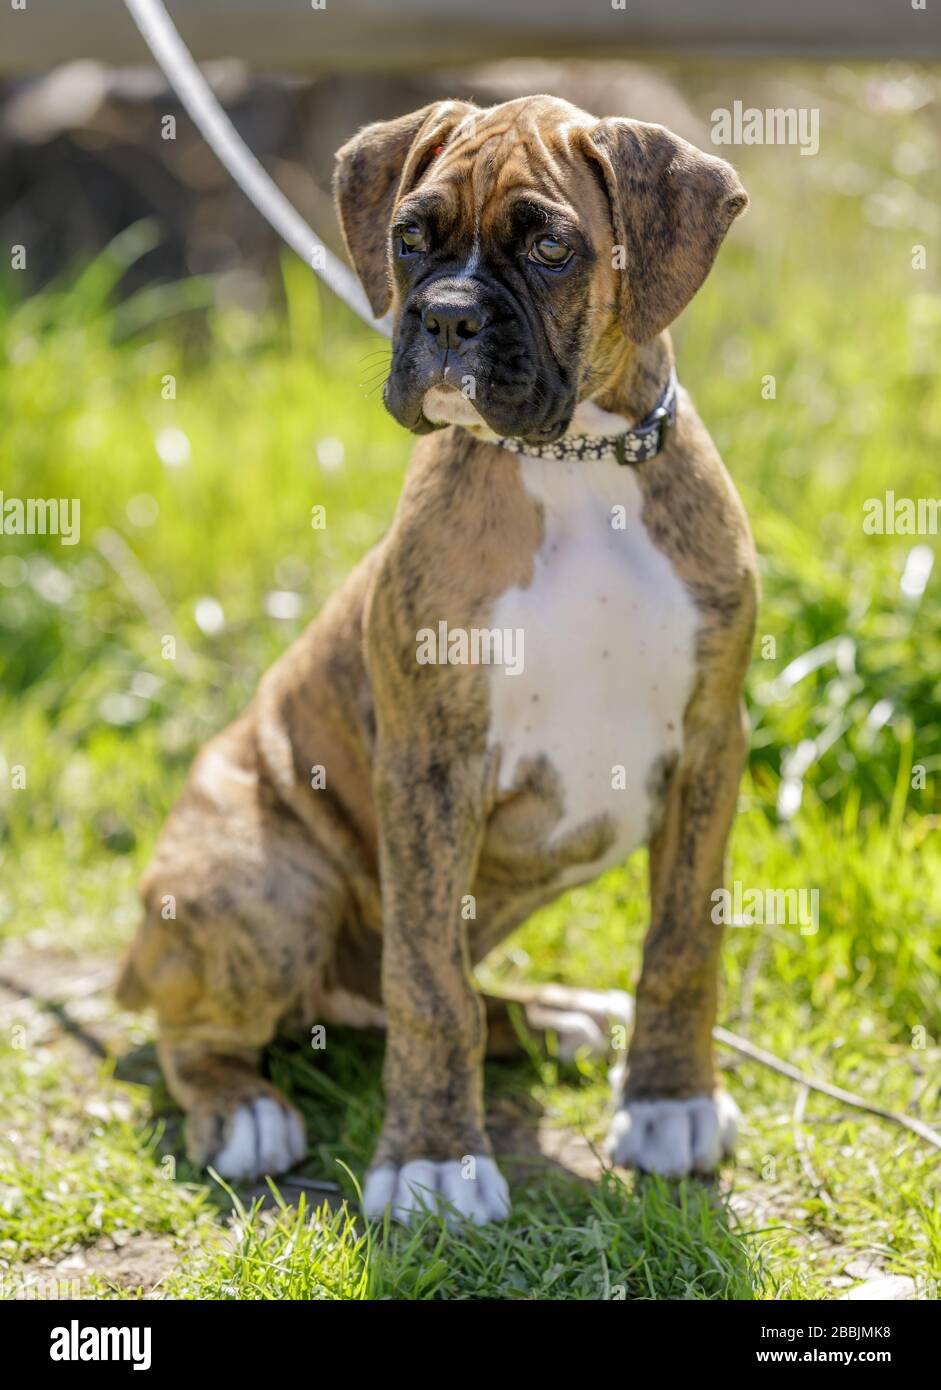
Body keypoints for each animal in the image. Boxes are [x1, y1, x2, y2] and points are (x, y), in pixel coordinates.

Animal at [117, 97, 750, 1223]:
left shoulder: (712, 746)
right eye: (410, 239)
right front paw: (432, 1159)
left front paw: (669, 1100)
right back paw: (243, 1110)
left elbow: (683, 939)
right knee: (204, 1033)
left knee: (416, 990)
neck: (572, 463)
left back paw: (558, 1018)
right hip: (266, 884)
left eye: (550, 249)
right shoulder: (427, 767)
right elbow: (427, 988)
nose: (446, 318)